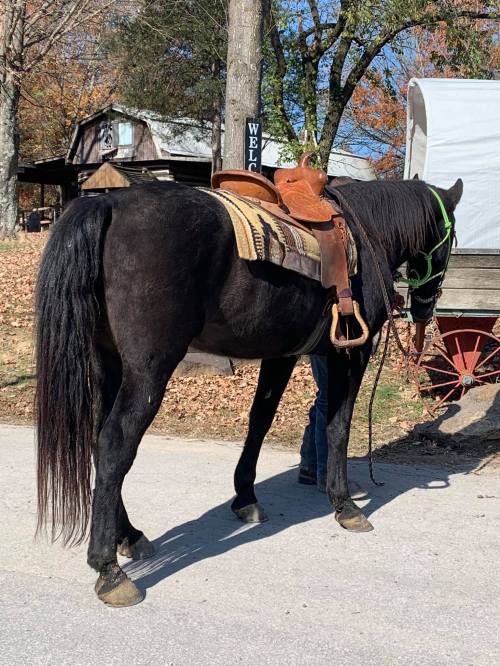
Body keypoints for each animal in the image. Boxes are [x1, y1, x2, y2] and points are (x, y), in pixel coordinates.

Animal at [35, 177, 463, 606]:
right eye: (453, 238)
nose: (425, 309)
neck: (366, 232)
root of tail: (107, 203)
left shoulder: (282, 355)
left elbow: (260, 421)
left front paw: (245, 497)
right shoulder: (351, 354)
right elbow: (338, 426)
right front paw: (344, 504)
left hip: (108, 362)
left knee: (98, 440)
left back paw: (129, 535)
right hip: (148, 370)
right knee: (115, 444)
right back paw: (108, 569)